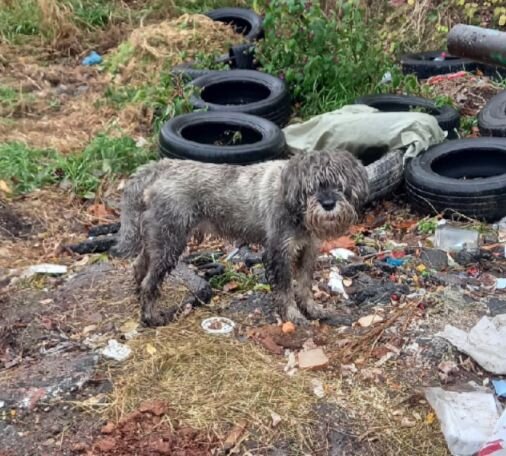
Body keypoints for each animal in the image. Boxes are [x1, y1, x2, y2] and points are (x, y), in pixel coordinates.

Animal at [114, 151, 368, 328]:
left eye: (339, 185)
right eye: (310, 188)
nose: (328, 204)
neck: (291, 200)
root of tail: (161, 166)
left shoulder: (308, 249)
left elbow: (304, 284)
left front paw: (313, 309)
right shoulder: (279, 252)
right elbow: (285, 289)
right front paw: (293, 315)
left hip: (159, 239)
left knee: (140, 266)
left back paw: (140, 299)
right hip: (170, 242)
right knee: (150, 281)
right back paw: (151, 316)